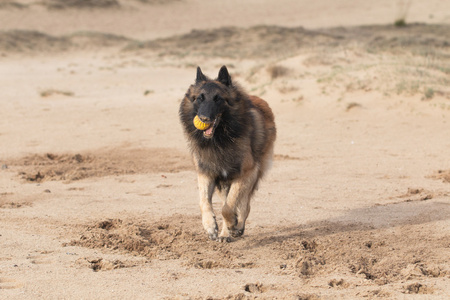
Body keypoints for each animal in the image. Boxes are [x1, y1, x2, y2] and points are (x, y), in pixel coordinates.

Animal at [178, 65, 276, 241]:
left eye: (218, 99)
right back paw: (225, 233)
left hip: (252, 176)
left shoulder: (244, 174)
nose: (204, 119)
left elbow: (228, 207)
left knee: (244, 204)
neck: (219, 140)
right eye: (200, 98)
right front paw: (210, 226)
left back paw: (237, 226)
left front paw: (232, 224)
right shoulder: (207, 173)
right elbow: (204, 202)